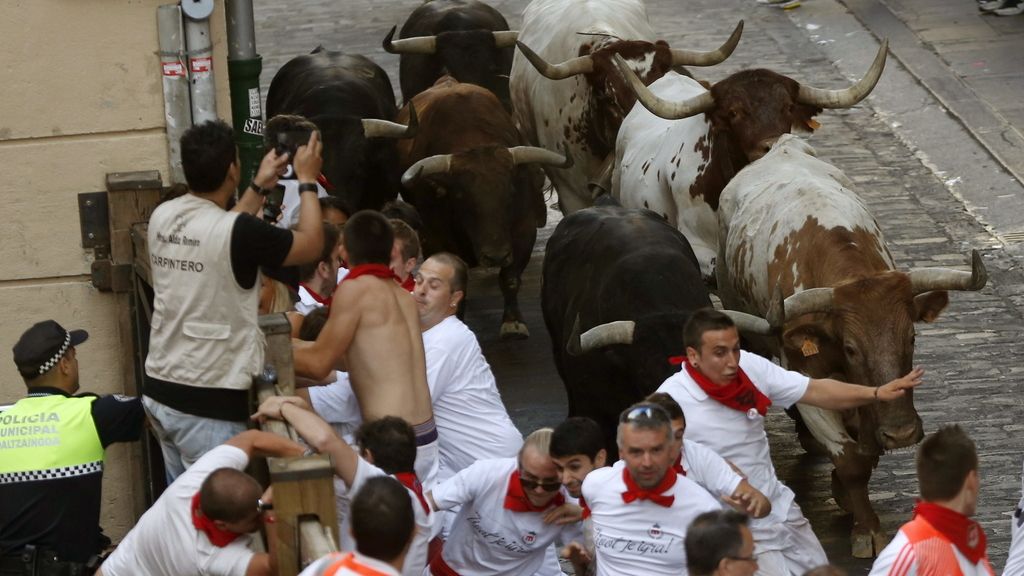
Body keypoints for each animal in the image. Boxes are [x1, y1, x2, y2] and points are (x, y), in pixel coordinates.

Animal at [712, 134, 983, 557]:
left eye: (911, 337)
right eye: (852, 348)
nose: (903, 433)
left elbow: (866, 451)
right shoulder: (805, 377)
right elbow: (851, 458)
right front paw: (866, 527)